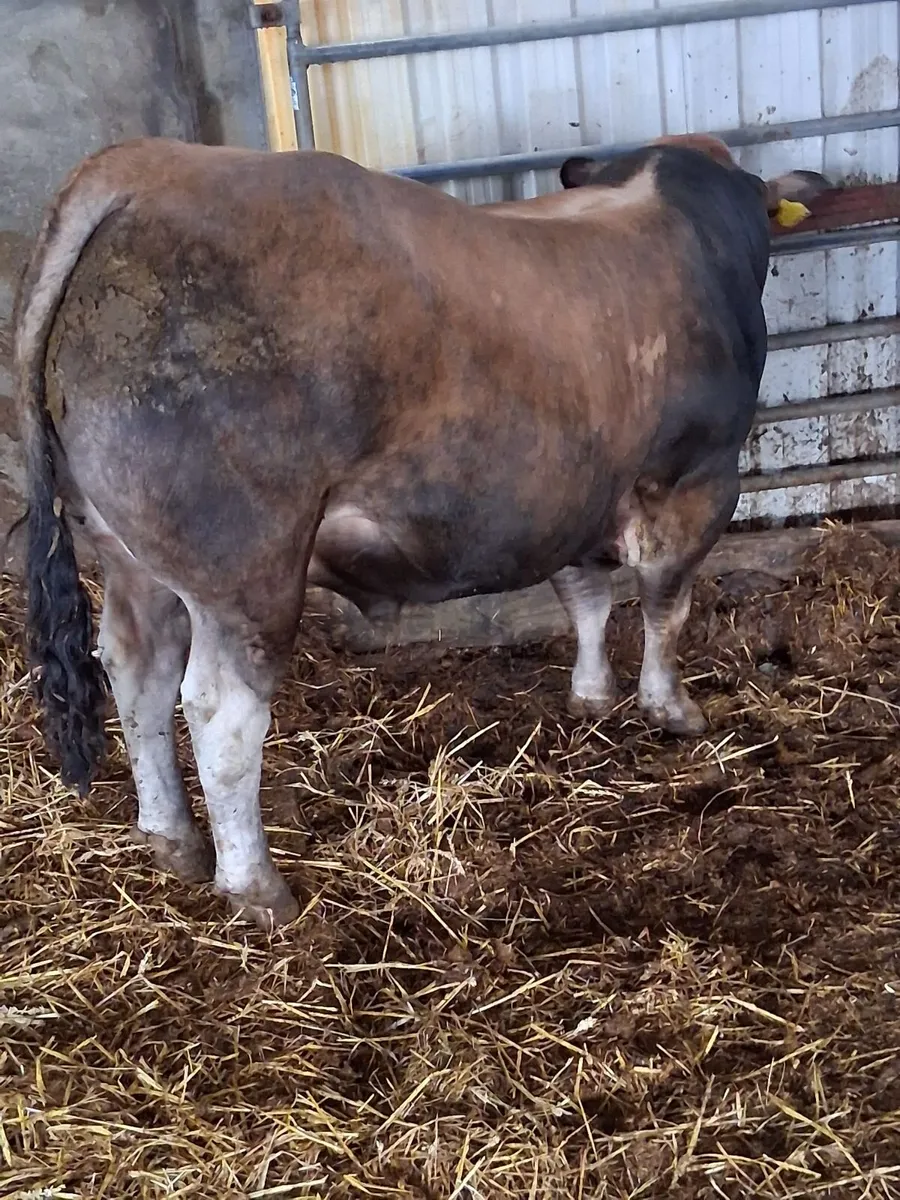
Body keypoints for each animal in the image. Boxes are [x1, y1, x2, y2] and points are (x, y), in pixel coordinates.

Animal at [16, 133, 827, 928]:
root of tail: (145, 165)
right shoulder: (696, 478)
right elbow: (665, 603)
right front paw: (671, 708)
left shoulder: (570, 492)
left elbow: (587, 598)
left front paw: (592, 696)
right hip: (244, 569)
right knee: (218, 709)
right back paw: (256, 889)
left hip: (128, 556)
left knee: (136, 670)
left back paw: (170, 839)